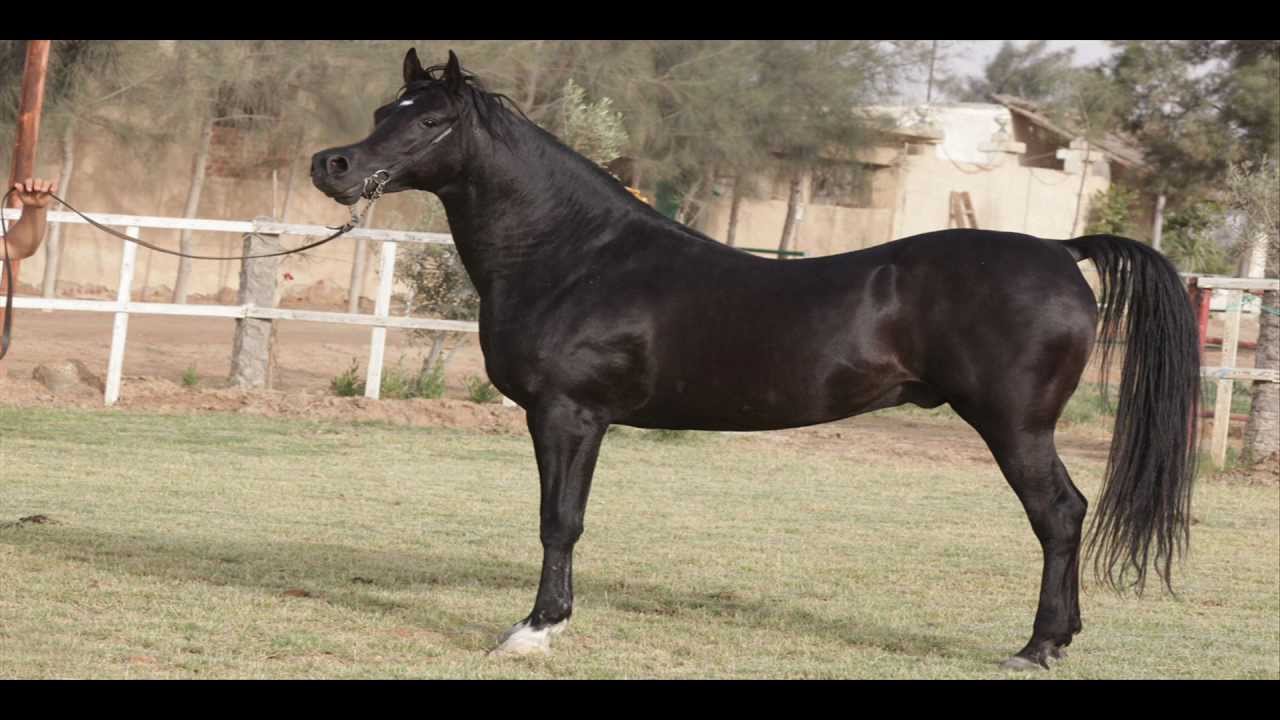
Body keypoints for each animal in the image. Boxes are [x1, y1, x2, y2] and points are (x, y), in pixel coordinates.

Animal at [311, 49, 1200, 670]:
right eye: (386, 108)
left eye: (431, 122)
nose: (335, 166)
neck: (577, 256)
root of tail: (1061, 249)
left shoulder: (569, 415)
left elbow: (558, 521)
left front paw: (534, 631)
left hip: (1016, 427)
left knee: (1059, 515)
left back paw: (1038, 645)